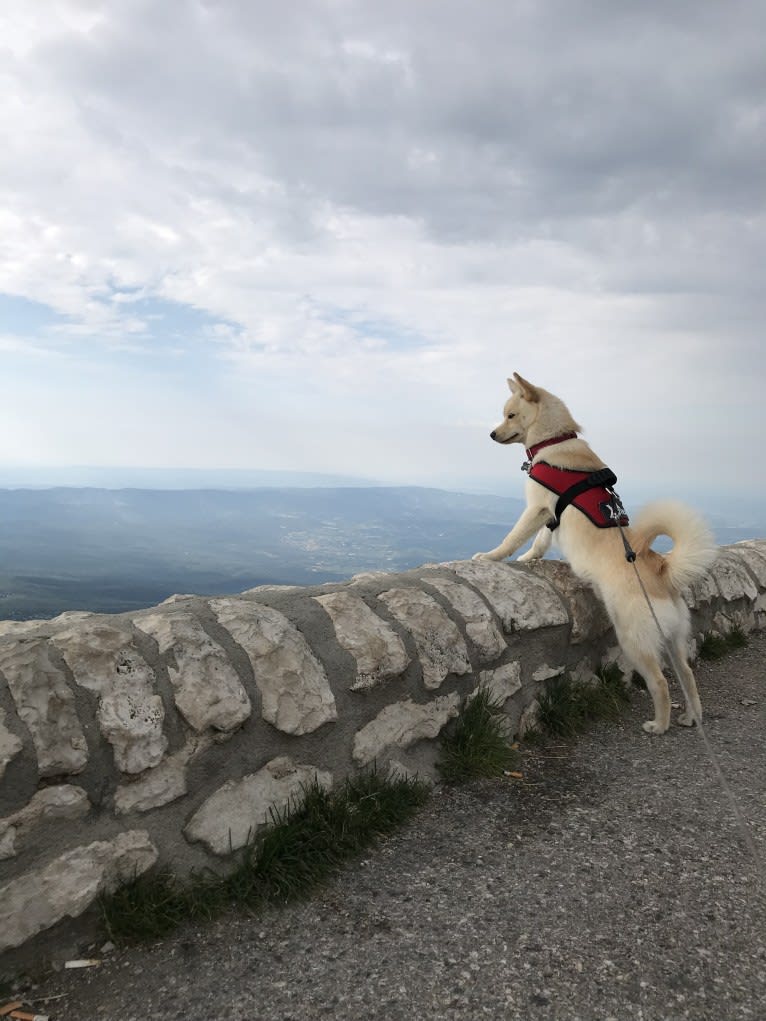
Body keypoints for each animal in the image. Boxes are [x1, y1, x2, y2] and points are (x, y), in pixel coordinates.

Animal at [473, 375, 719, 735]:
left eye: (510, 415)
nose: (491, 434)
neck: (555, 440)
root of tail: (661, 569)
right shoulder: (550, 516)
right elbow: (540, 542)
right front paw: (528, 559)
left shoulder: (536, 508)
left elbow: (513, 537)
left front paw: (491, 557)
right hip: (673, 639)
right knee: (687, 676)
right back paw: (690, 717)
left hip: (633, 639)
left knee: (660, 682)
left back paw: (659, 724)